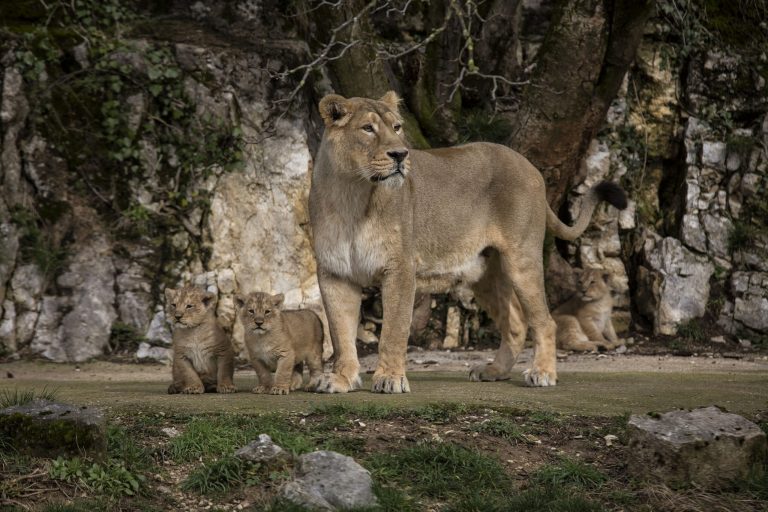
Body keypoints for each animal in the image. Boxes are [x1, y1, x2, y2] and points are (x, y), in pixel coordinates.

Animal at [309, 91, 627, 393]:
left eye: (396, 127)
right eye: (367, 128)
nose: (400, 154)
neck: (353, 195)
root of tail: (530, 166)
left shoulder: (399, 269)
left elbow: (393, 331)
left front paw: (390, 379)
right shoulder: (335, 273)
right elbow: (340, 334)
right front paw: (341, 379)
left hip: (522, 261)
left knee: (544, 321)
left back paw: (542, 373)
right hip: (485, 275)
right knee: (515, 324)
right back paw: (494, 371)